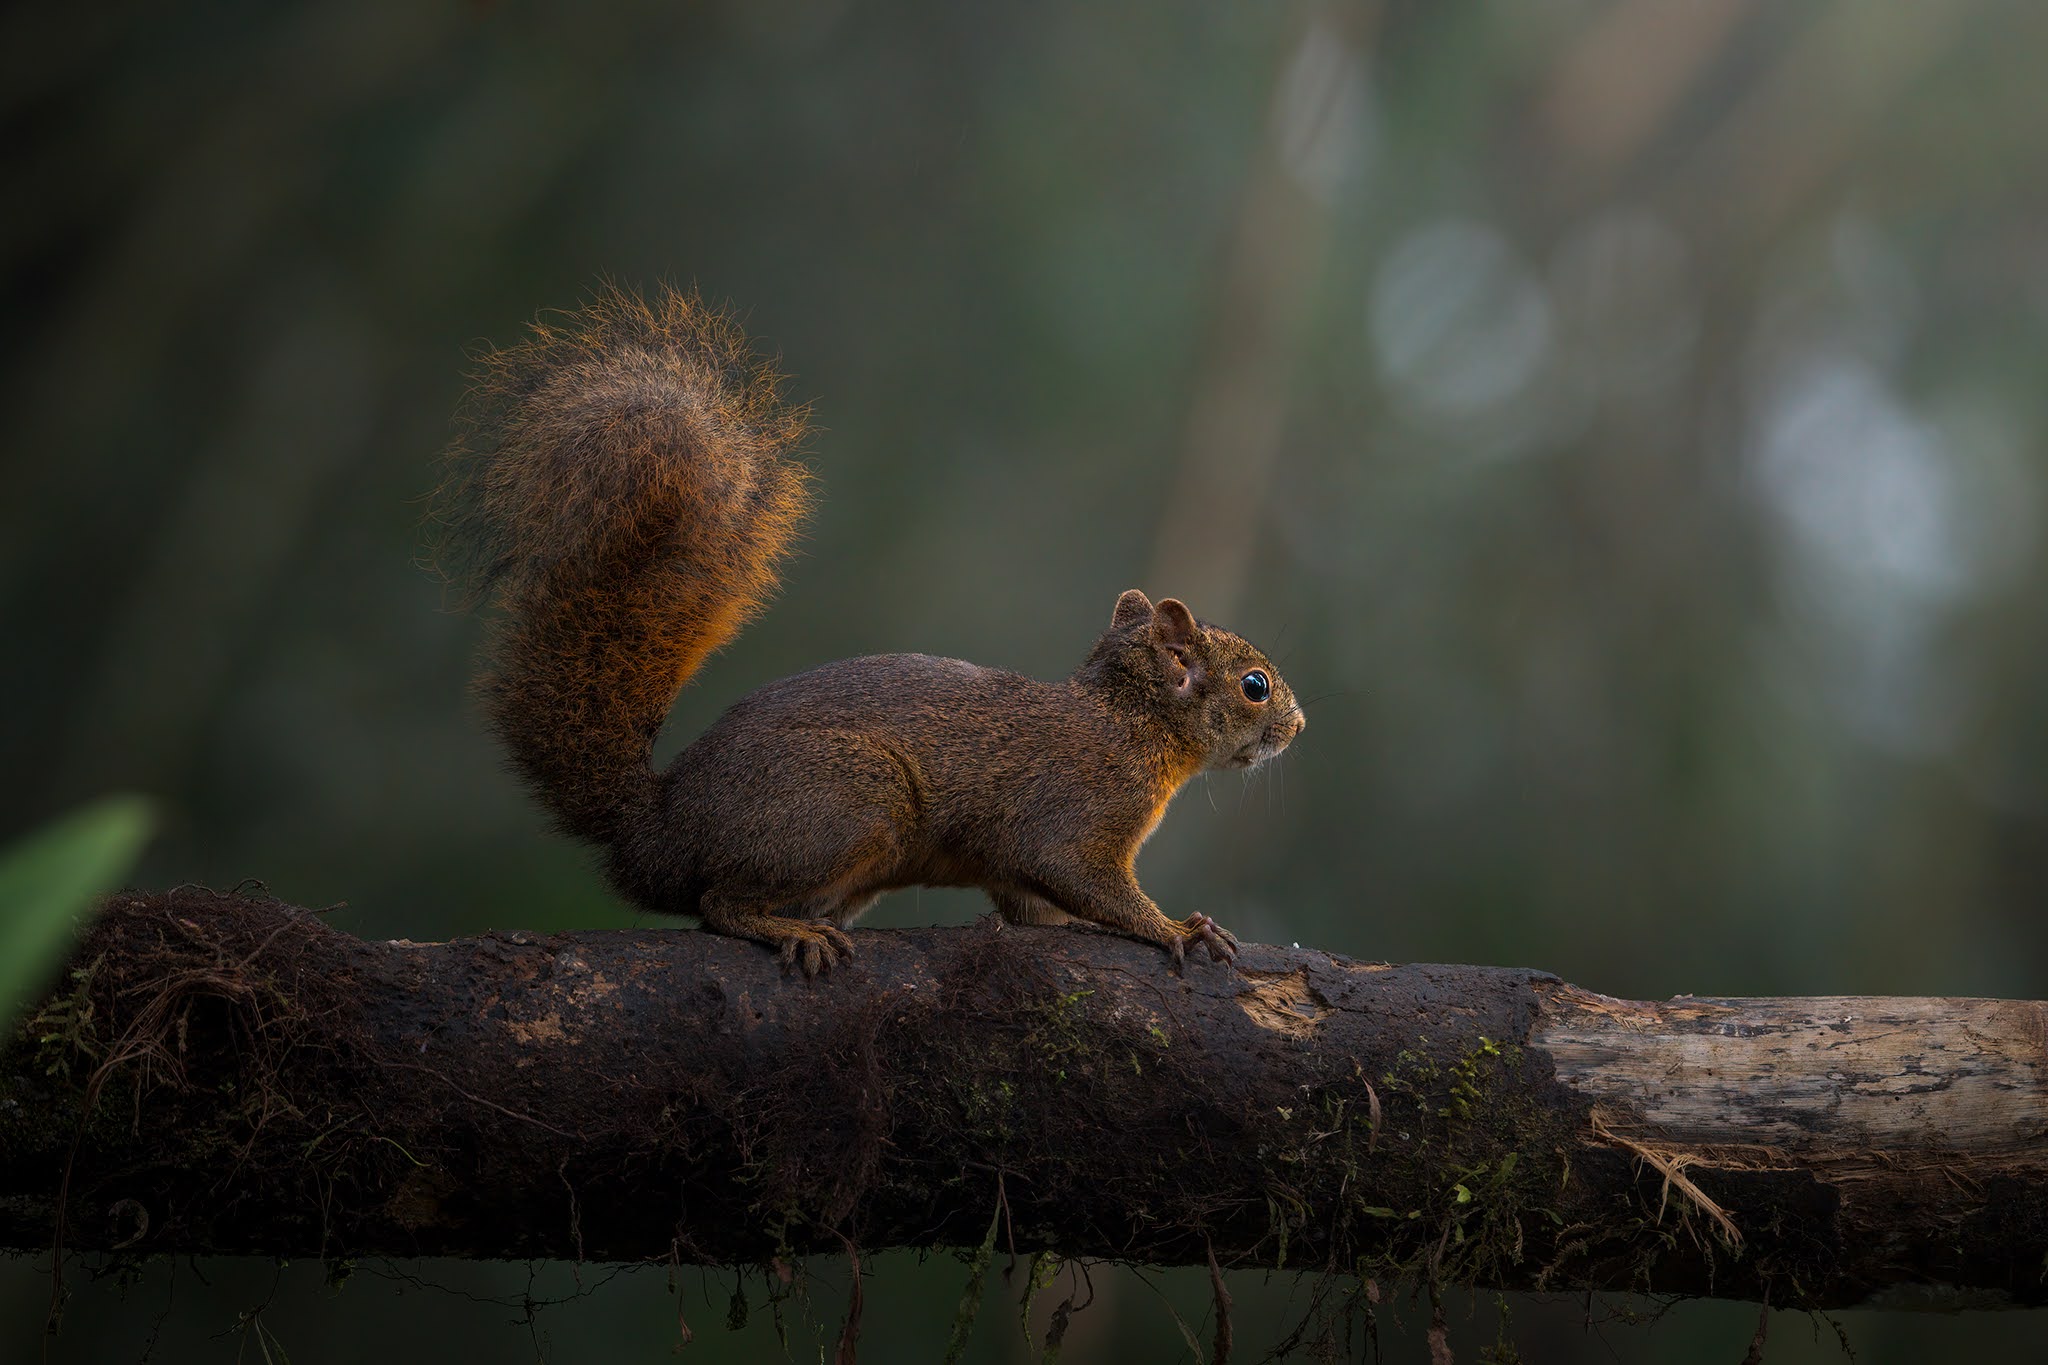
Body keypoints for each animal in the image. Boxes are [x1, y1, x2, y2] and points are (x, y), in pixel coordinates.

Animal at [431, 284, 1306, 975]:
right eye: (1255, 685)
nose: (1299, 725)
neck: (1132, 722)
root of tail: (658, 826)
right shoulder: (1074, 813)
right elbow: (1087, 883)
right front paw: (1176, 928)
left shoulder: (1020, 867)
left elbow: (1032, 908)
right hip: (850, 802)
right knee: (717, 900)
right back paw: (785, 928)